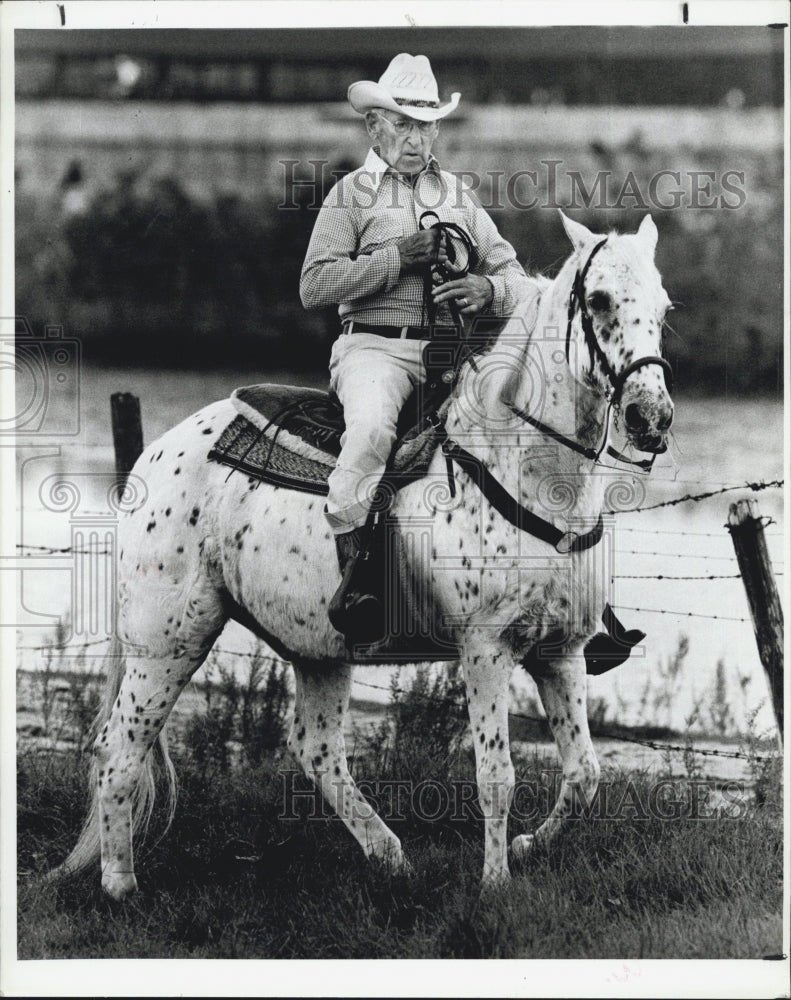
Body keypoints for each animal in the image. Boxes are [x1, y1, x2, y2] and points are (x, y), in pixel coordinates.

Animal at [55, 213, 676, 900]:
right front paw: (495, 884)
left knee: (317, 750)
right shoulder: (485, 649)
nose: (652, 418)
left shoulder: (559, 652)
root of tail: (157, 453)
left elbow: (584, 775)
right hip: (168, 639)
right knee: (120, 748)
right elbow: (497, 776)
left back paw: (389, 855)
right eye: (599, 300)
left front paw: (527, 847)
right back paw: (120, 885)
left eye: (663, 307)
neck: (528, 472)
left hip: (317, 646)